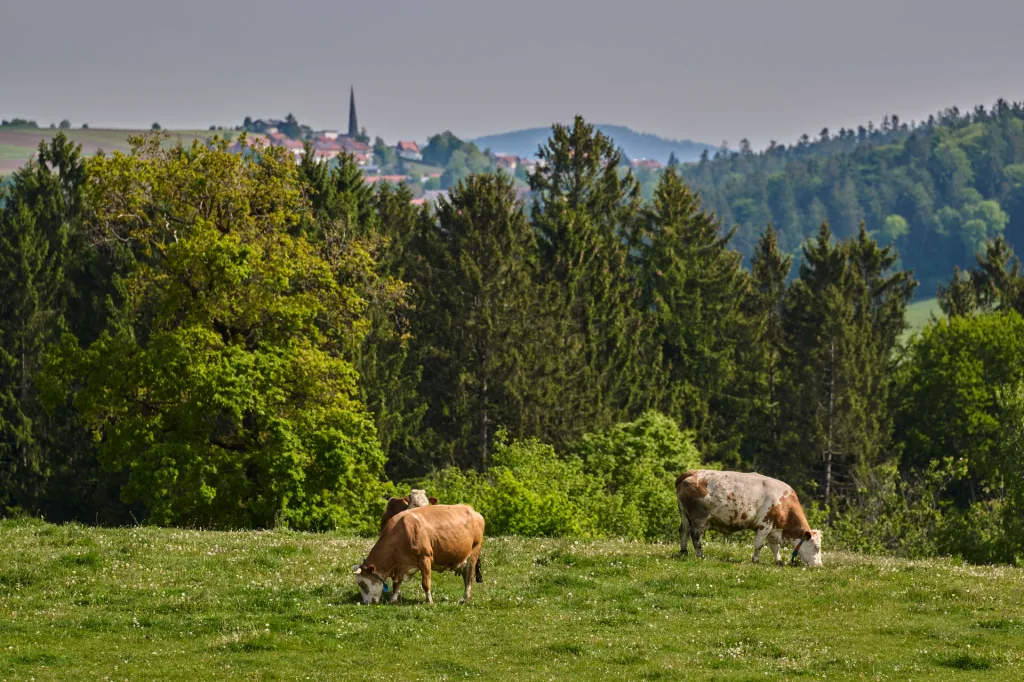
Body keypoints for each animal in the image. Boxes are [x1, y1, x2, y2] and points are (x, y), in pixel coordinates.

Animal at [353, 503, 485, 605]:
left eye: (362, 584)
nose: (366, 603)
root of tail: (472, 509)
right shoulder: (399, 566)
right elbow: (396, 584)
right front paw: (393, 600)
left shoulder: (425, 558)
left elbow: (426, 583)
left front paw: (429, 602)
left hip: (473, 553)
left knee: (468, 578)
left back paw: (465, 599)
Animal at [675, 470, 823, 567]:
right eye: (816, 547)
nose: (819, 565)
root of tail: (693, 472)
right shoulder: (765, 525)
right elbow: (759, 544)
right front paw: (755, 560)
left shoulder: (773, 529)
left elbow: (775, 547)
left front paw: (779, 561)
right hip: (698, 518)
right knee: (695, 536)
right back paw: (700, 555)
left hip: (684, 515)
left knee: (684, 531)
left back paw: (684, 552)